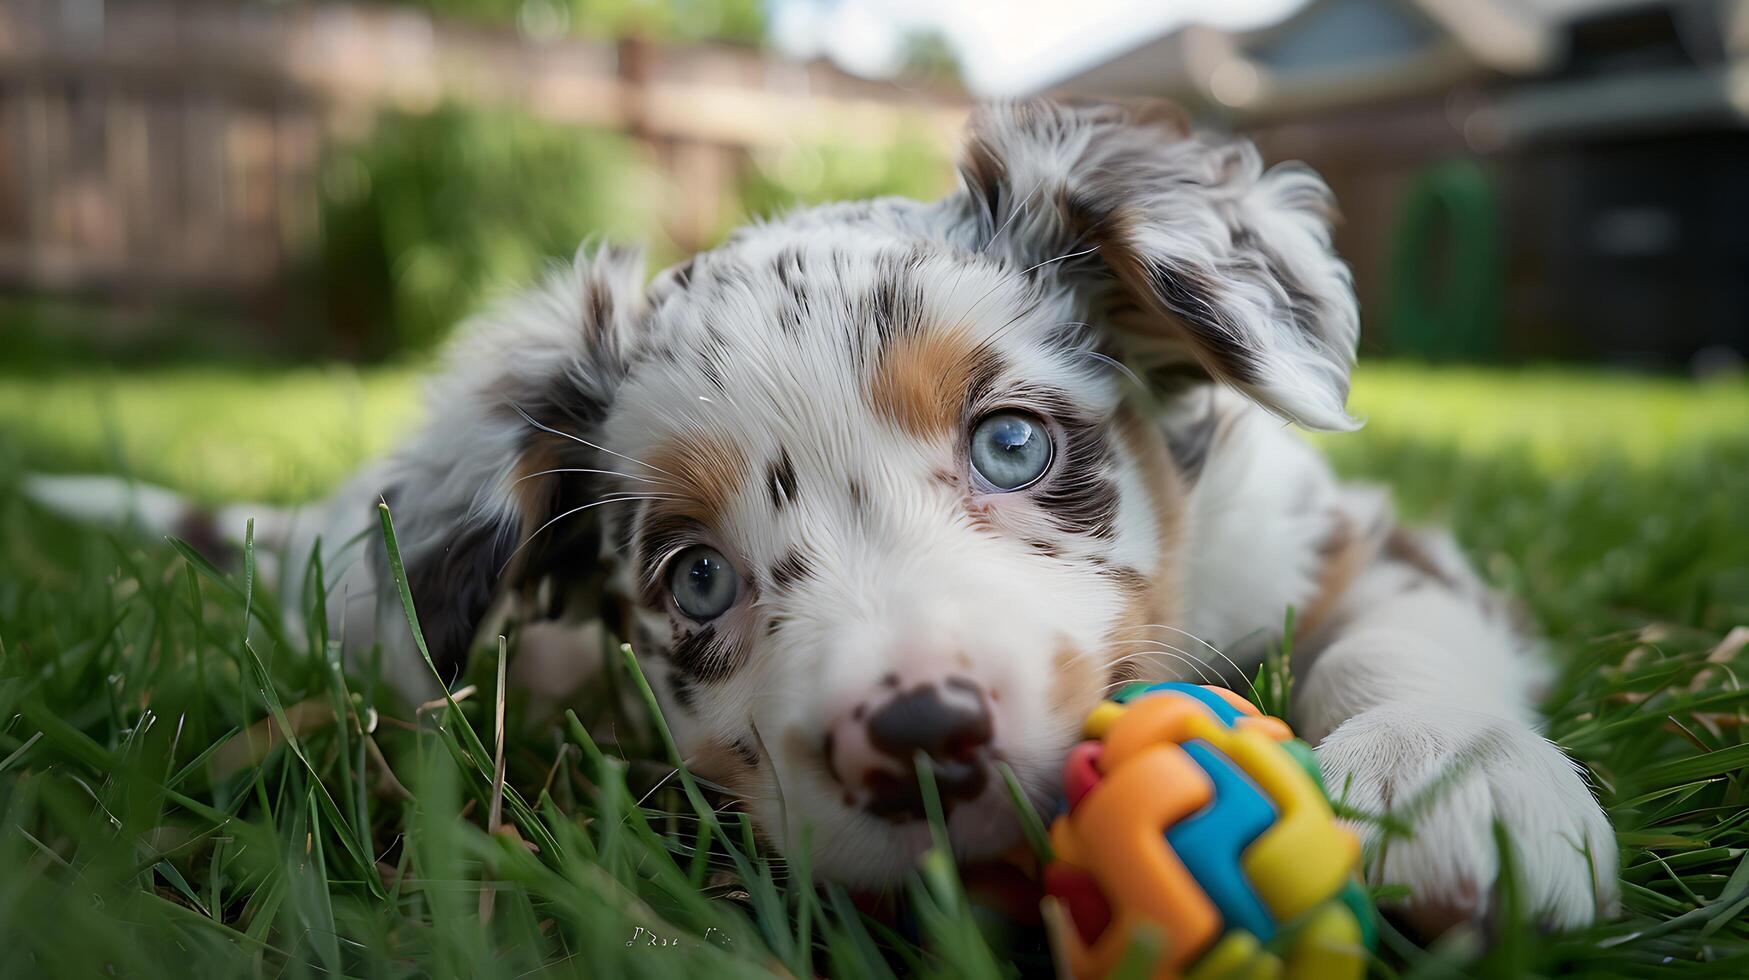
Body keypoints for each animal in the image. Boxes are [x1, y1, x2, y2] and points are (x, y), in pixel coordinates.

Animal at [37, 99, 1609, 931]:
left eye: (1014, 443)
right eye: (694, 580)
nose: (917, 737)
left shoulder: (1336, 534)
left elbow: (1395, 634)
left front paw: (1451, 785)